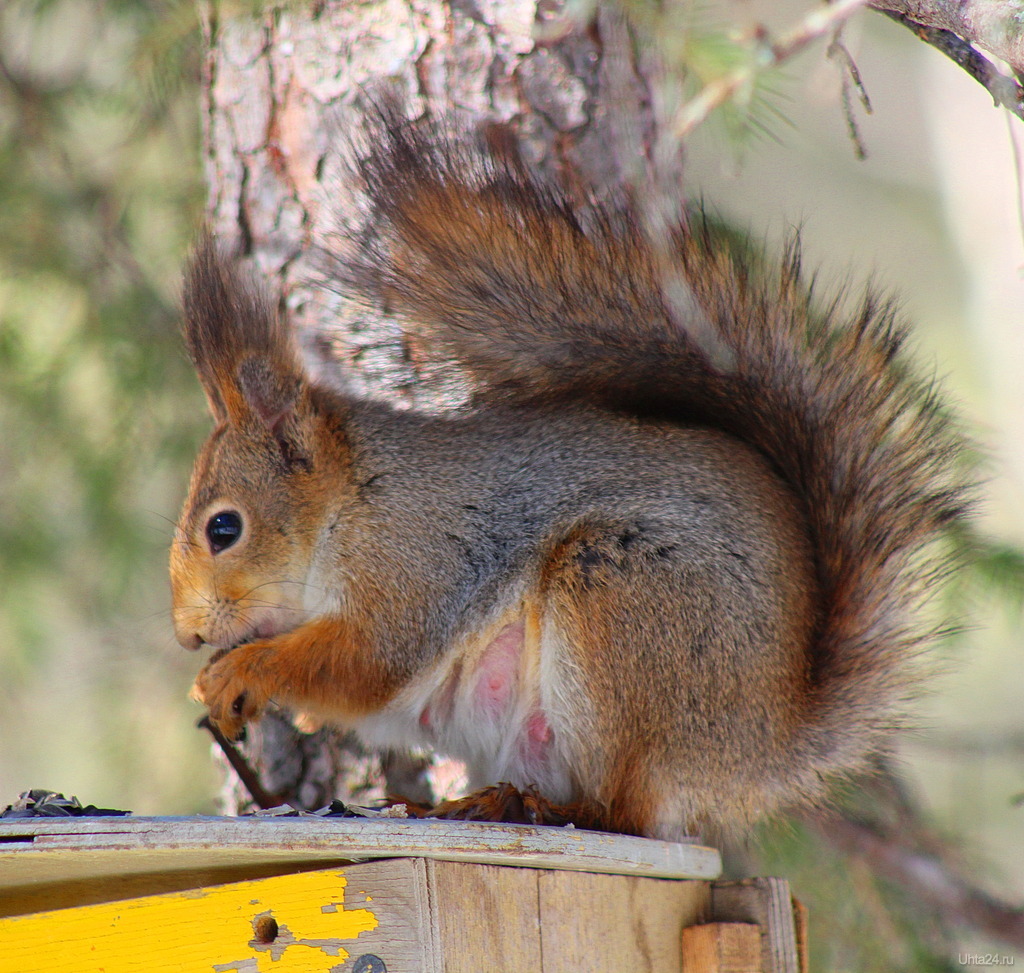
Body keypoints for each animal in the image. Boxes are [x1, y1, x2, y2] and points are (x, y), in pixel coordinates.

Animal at [167, 118, 966, 839]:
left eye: (223, 527)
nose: (187, 634)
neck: (350, 498)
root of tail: (765, 740)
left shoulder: (414, 558)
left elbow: (368, 658)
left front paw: (240, 674)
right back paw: (479, 801)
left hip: (623, 601)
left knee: (627, 813)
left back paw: (530, 807)